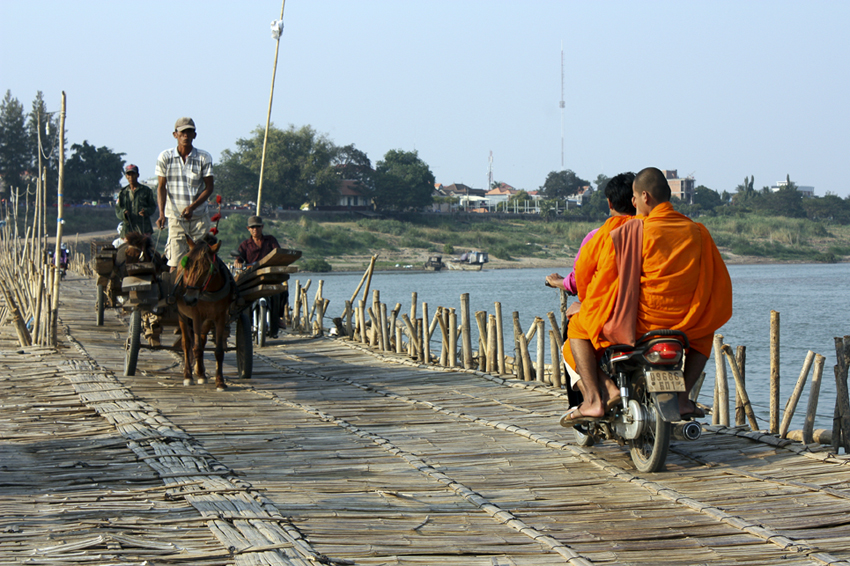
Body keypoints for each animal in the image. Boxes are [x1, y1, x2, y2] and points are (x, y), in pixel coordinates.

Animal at [175, 235, 237, 390]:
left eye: (207, 270)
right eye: (186, 266)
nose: (189, 299)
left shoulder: (220, 316)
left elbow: (218, 351)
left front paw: (220, 382)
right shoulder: (196, 316)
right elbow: (196, 348)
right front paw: (192, 377)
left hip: (207, 321)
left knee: (201, 341)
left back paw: (200, 372)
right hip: (182, 315)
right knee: (187, 343)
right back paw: (188, 375)